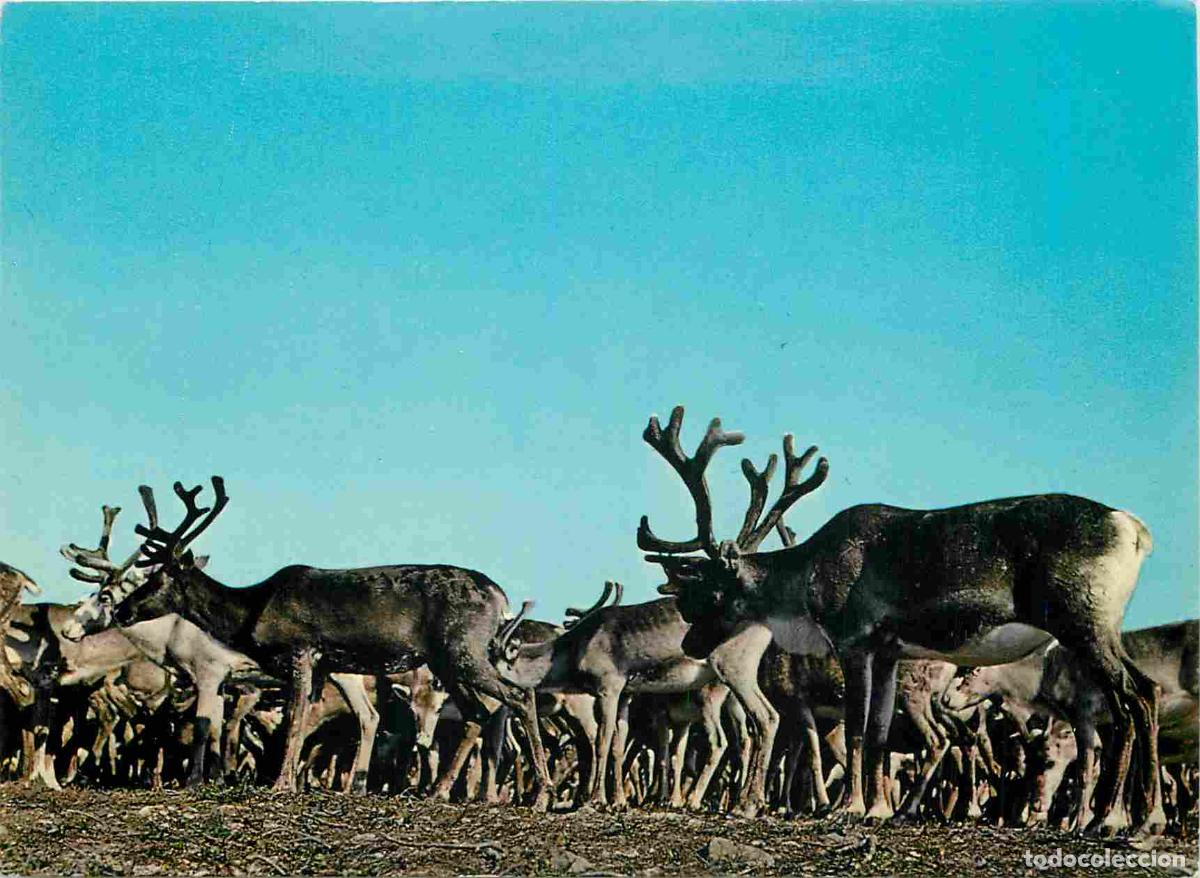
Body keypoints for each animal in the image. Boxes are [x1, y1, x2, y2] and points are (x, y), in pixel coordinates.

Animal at [62, 477, 554, 806]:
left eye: (157, 578)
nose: (123, 611)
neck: (249, 612)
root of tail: (500, 597)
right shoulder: (319, 666)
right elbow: (290, 723)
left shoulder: (300, 651)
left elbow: (294, 720)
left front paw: (279, 784)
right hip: (447, 660)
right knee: (479, 713)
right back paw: (437, 791)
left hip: (462, 650)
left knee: (517, 695)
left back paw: (541, 794)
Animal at [638, 405, 1161, 837]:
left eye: (710, 592)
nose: (689, 644)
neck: (806, 581)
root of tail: (1134, 529)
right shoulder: (889, 651)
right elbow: (879, 732)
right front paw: (878, 809)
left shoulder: (852, 640)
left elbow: (854, 726)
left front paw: (848, 807)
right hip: (1100, 628)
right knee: (1140, 696)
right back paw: (1113, 817)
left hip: (1083, 622)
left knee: (1134, 698)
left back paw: (1126, 818)